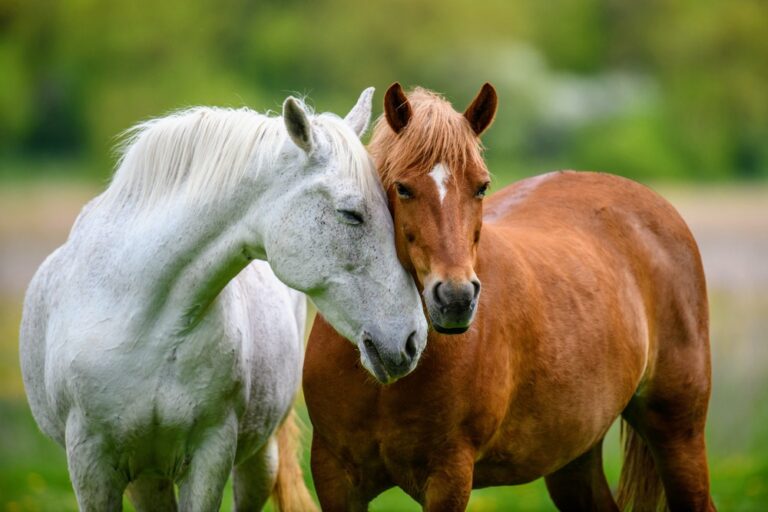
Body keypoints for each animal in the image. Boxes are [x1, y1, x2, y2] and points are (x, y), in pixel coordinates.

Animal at [19, 87, 428, 512]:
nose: (413, 340)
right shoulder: (91, 464)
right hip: (147, 477)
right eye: (351, 214)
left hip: (256, 462)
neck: (139, 318)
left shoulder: (210, 454)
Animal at [303, 83, 715, 511]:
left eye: (481, 186)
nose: (455, 298)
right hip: (574, 458)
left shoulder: (448, 476)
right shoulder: (334, 476)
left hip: (678, 433)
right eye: (402, 188)